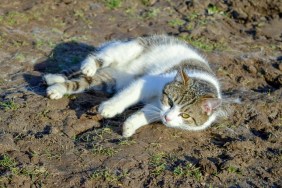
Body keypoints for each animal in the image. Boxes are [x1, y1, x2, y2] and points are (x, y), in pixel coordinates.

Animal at [43, 35, 225, 137]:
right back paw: (85, 67)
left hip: (108, 80)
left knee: (81, 80)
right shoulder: (148, 82)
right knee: (94, 58)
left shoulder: (157, 106)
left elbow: (146, 114)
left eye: (185, 115)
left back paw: (55, 84)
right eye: (171, 101)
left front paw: (130, 126)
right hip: (127, 50)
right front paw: (109, 108)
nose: (168, 118)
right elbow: (127, 96)